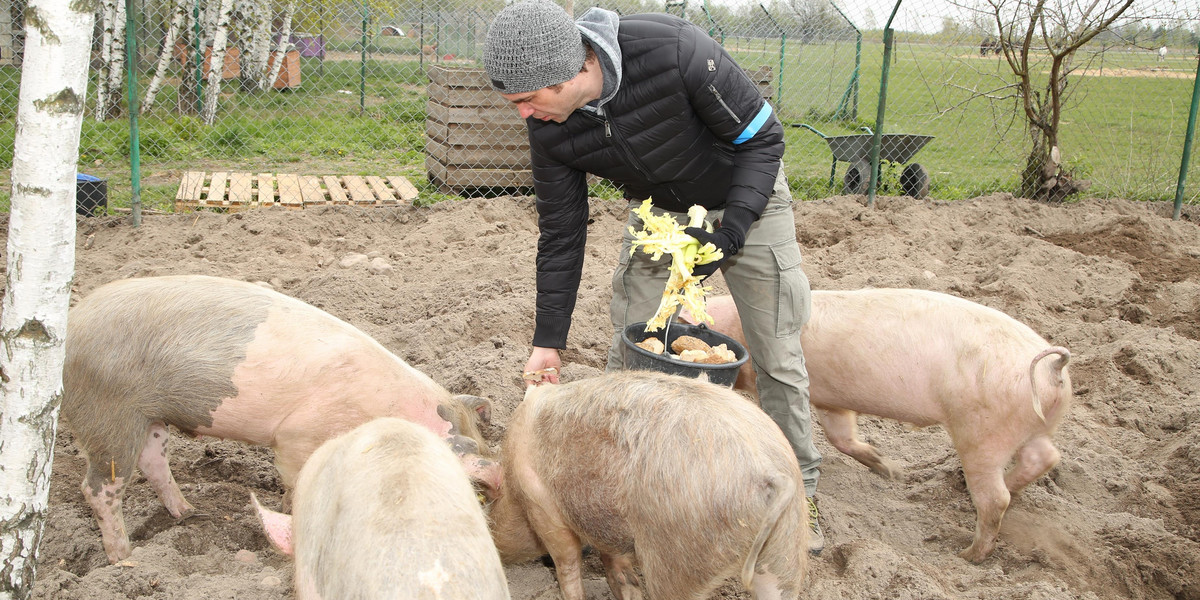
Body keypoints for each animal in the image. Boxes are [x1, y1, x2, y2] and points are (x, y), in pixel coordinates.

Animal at [62, 274, 501, 564]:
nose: (494, 480)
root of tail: (72, 323)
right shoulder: (295, 437)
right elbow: (295, 484)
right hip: (108, 413)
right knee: (99, 489)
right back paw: (125, 559)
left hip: (150, 418)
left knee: (153, 462)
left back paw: (190, 513)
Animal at [681, 290, 1075, 561]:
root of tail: (1052, 368)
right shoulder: (831, 400)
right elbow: (842, 438)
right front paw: (890, 469)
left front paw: (891, 470)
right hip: (1031, 427)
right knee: (1044, 458)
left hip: (982, 431)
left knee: (996, 498)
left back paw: (967, 554)